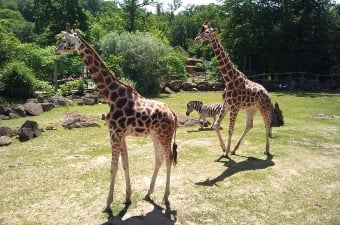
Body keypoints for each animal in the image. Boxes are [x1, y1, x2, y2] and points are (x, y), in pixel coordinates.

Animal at [55, 24, 178, 213]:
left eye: (64, 40)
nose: (55, 51)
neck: (110, 96)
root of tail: (173, 113)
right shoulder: (121, 134)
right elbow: (125, 163)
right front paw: (127, 197)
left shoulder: (114, 133)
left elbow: (113, 167)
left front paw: (107, 204)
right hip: (155, 134)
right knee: (159, 159)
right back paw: (148, 193)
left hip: (165, 135)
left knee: (169, 158)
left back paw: (165, 196)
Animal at [195, 21, 272, 157]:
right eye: (200, 31)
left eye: (207, 32)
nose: (196, 39)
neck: (229, 79)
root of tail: (267, 93)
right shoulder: (227, 104)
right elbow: (216, 125)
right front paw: (224, 148)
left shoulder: (235, 106)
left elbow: (230, 129)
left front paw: (226, 152)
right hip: (251, 108)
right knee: (249, 125)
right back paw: (235, 149)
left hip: (264, 107)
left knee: (267, 124)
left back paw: (267, 150)